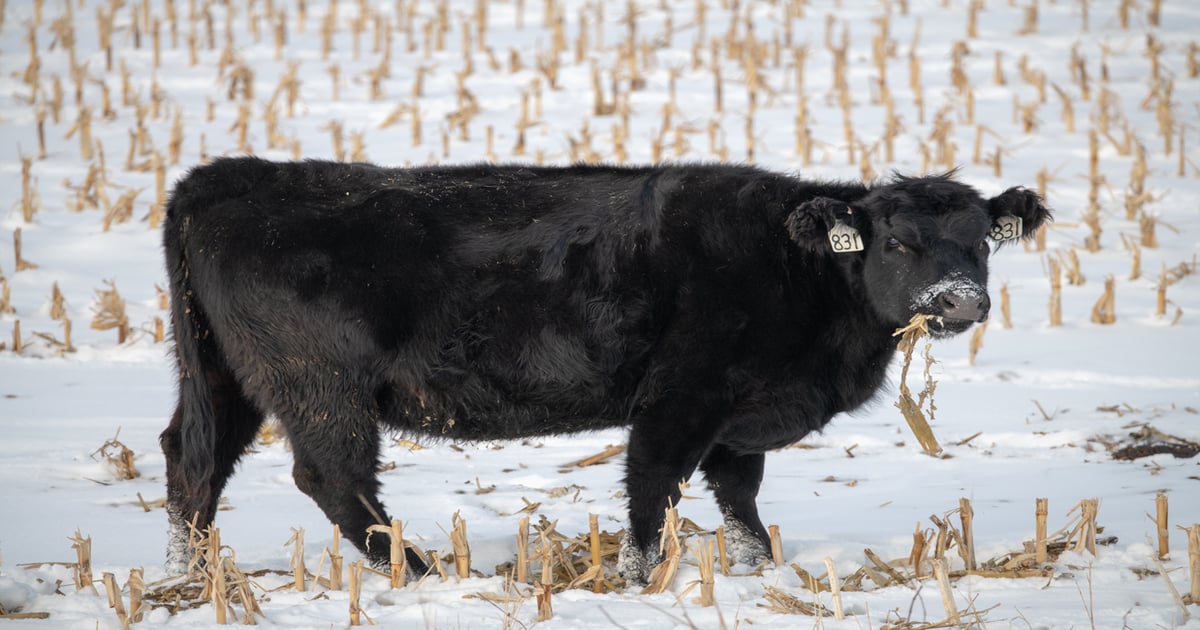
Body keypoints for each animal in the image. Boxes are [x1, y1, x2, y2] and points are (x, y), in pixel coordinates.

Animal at [159, 157, 1050, 583]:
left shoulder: (738, 421)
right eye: (895, 240)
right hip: (320, 387)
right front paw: (633, 579)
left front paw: (757, 570)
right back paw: (419, 573)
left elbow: (739, 500)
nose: (958, 299)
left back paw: (189, 576)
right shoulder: (679, 397)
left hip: (220, 379)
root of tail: (227, 175)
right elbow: (653, 491)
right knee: (334, 480)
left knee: (191, 462)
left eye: (980, 239)